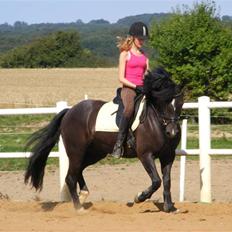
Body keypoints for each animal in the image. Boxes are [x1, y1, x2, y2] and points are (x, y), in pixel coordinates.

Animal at [24, 66, 184, 212]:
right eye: (164, 102)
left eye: (180, 103)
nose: (172, 132)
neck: (156, 122)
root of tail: (69, 111)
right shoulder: (145, 155)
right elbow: (156, 180)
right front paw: (139, 197)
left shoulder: (168, 155)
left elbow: (167, 180)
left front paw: (169, 207)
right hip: (76, 152)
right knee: (70, 177)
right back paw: (79, 208)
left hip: (94, 153)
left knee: (78, 171)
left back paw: (83, 195)